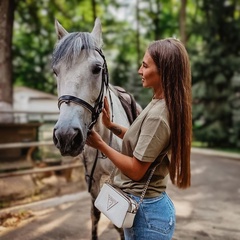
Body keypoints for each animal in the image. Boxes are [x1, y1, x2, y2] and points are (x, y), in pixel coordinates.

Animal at [51, 17, 140, 239]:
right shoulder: (92, 181)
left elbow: (119, 224)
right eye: (56, 71)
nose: (66, 136)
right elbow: (95, 216)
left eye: (97, 68)